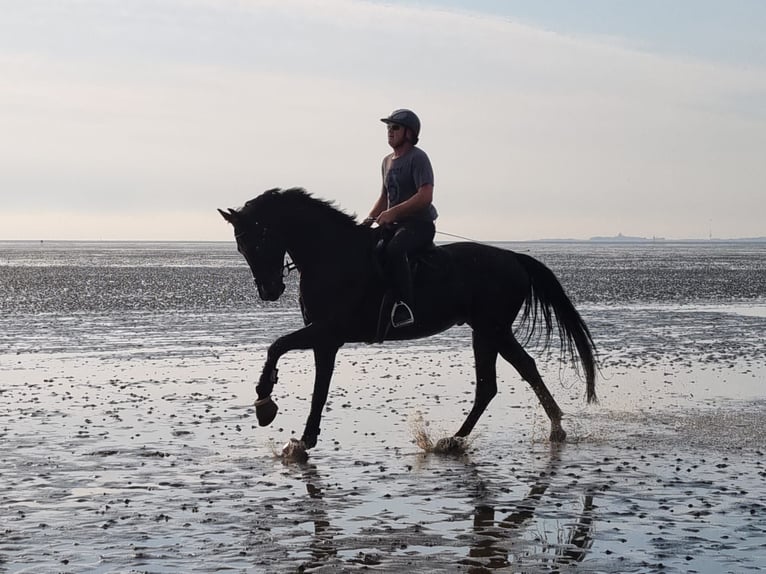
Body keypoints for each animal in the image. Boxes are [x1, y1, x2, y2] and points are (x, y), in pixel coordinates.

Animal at [219, 189, 596, 460]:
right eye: (240, 246)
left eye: (257, 239)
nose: (269, 291)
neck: (332, 256)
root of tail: (514, 258)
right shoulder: (325, 340)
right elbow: (318, 387)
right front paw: (303, 439)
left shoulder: (326, 332)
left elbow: (278, 347)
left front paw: (265, 405)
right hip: (486, 331)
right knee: (501, 380)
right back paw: (465, 438)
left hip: (492, 329)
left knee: (509, 375)